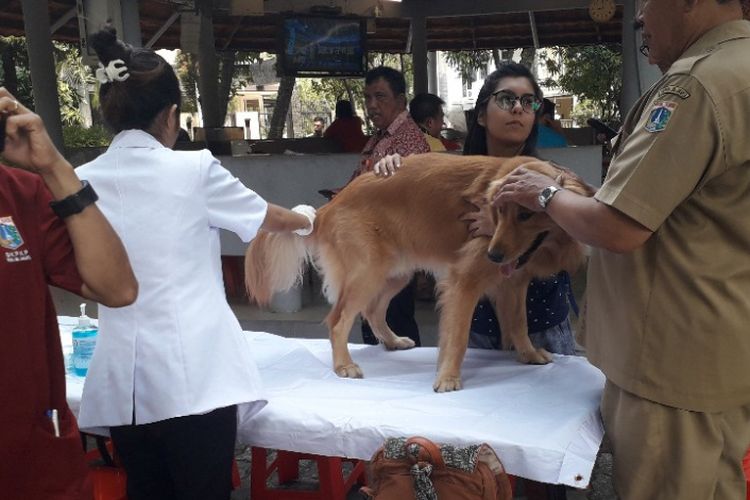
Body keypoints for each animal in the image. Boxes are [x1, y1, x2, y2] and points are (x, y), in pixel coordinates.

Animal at [245, 152, 592, 390]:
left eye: (525, 214)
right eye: (498, 212)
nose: (493, 255)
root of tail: (331, 204)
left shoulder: (514, 283)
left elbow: (519, 323)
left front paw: (529, 354)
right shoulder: (463, 281)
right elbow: (458, 337)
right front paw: (448, 377)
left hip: (394, 275)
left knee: (373, 310)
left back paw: (393, 341)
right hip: (367, 272)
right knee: (338, 320)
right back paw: (344, 365)